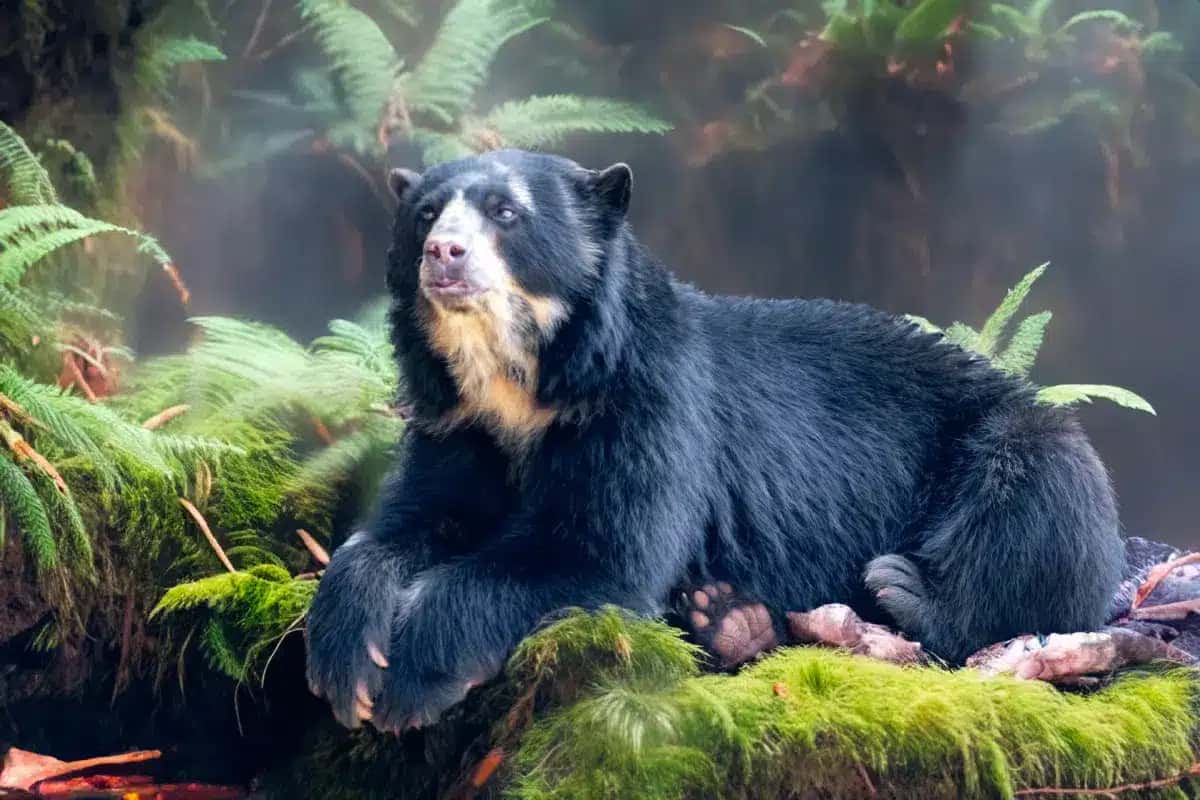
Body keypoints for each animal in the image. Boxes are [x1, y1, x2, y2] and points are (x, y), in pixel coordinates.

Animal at [304, 148, 1125, 732]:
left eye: (506, 212)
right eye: (425, 214)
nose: (443, 253)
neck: (519, 382)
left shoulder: (648, 407)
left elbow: (597, 552)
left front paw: (410, 675)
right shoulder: (455, 425)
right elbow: (406, 524)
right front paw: (346, 662)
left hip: (1013, 438)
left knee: (1036, 510)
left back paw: (900, 591)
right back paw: (726, 617)